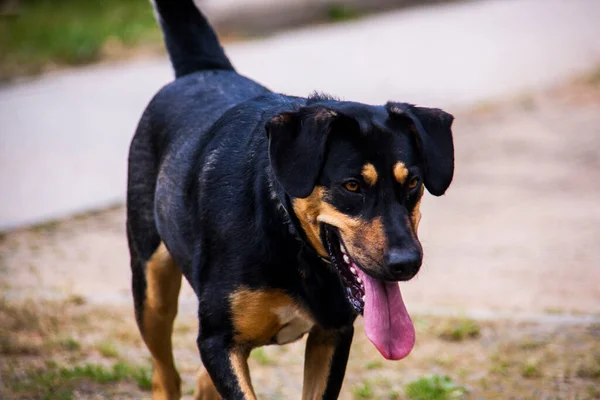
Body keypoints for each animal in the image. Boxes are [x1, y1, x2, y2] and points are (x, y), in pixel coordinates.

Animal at [126, 0, 454, 400]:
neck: (291, 238)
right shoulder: (218, 341)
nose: (406, 263)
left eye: (414, 184)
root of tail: (202, 70)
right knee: (166, 374)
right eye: (352, 186)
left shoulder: (332, 334)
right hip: (151, 287)